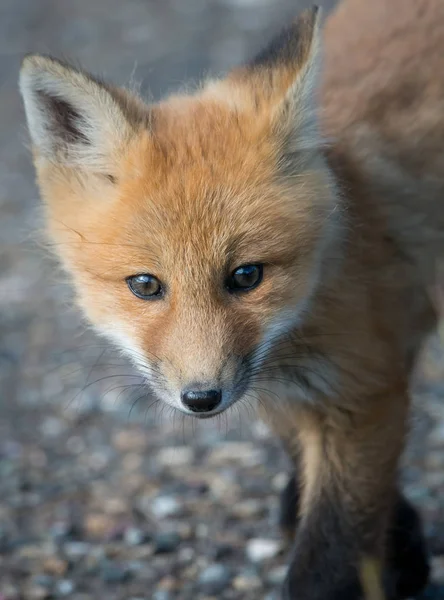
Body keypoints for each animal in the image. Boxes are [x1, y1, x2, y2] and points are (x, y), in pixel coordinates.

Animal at [18, 0, 444, 596]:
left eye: (246, 276)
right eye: (145, 285)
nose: (202, 398)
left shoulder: (364, 388)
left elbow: (330, 546)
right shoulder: (299, 393)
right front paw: (400, 551)